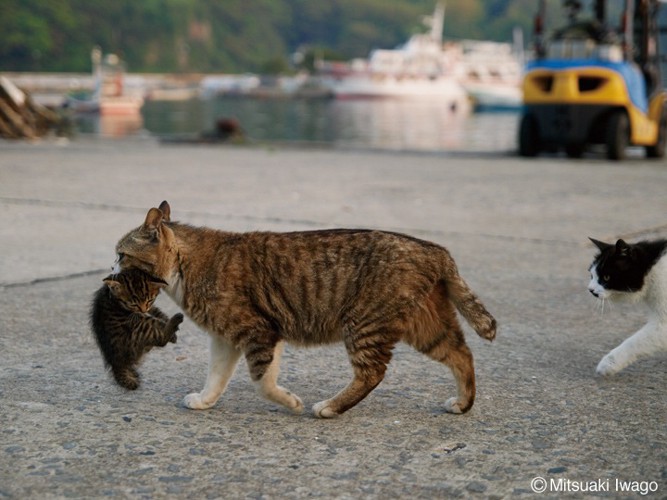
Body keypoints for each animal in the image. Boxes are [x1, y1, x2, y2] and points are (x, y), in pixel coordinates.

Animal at [115, 201, 498, 416]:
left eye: (121, 253)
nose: (111, 267)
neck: (184, 267)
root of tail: (435, 250)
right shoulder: (227, 339)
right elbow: (217, 376)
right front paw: (205, 401)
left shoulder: (258, 331)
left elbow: (262, 381)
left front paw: (290, 402)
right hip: (427, 328)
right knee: (462, 355)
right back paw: (463, 404)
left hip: (364, 325)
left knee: (372, 373)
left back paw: (329, 407)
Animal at [588, 238, 667, 376]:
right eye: (592, 275)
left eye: (606, 277)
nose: (590, 290)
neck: (652, 270)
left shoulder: (663, 325)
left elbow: (634, 342)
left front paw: (608, 363)